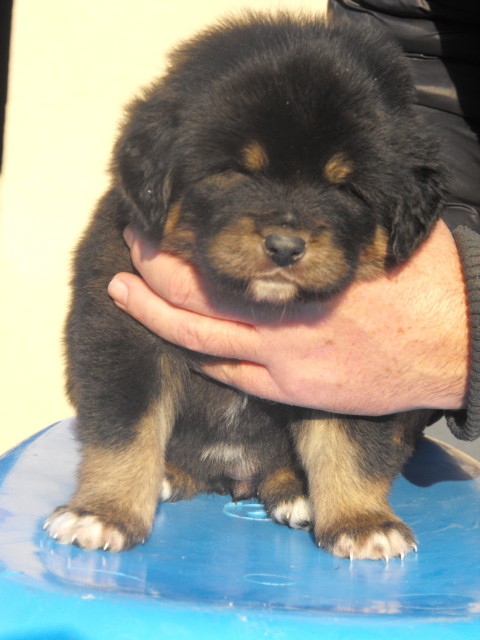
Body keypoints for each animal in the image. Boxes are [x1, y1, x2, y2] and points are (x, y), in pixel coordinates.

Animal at [46, 12, 446, 560]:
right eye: (236, 170)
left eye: (345, 187)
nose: (284, 247)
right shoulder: (122, 332)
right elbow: (125, 430)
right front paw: (103, 513)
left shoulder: (351, 373)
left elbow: (350, 444)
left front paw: (362, 523)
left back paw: (295, 491)